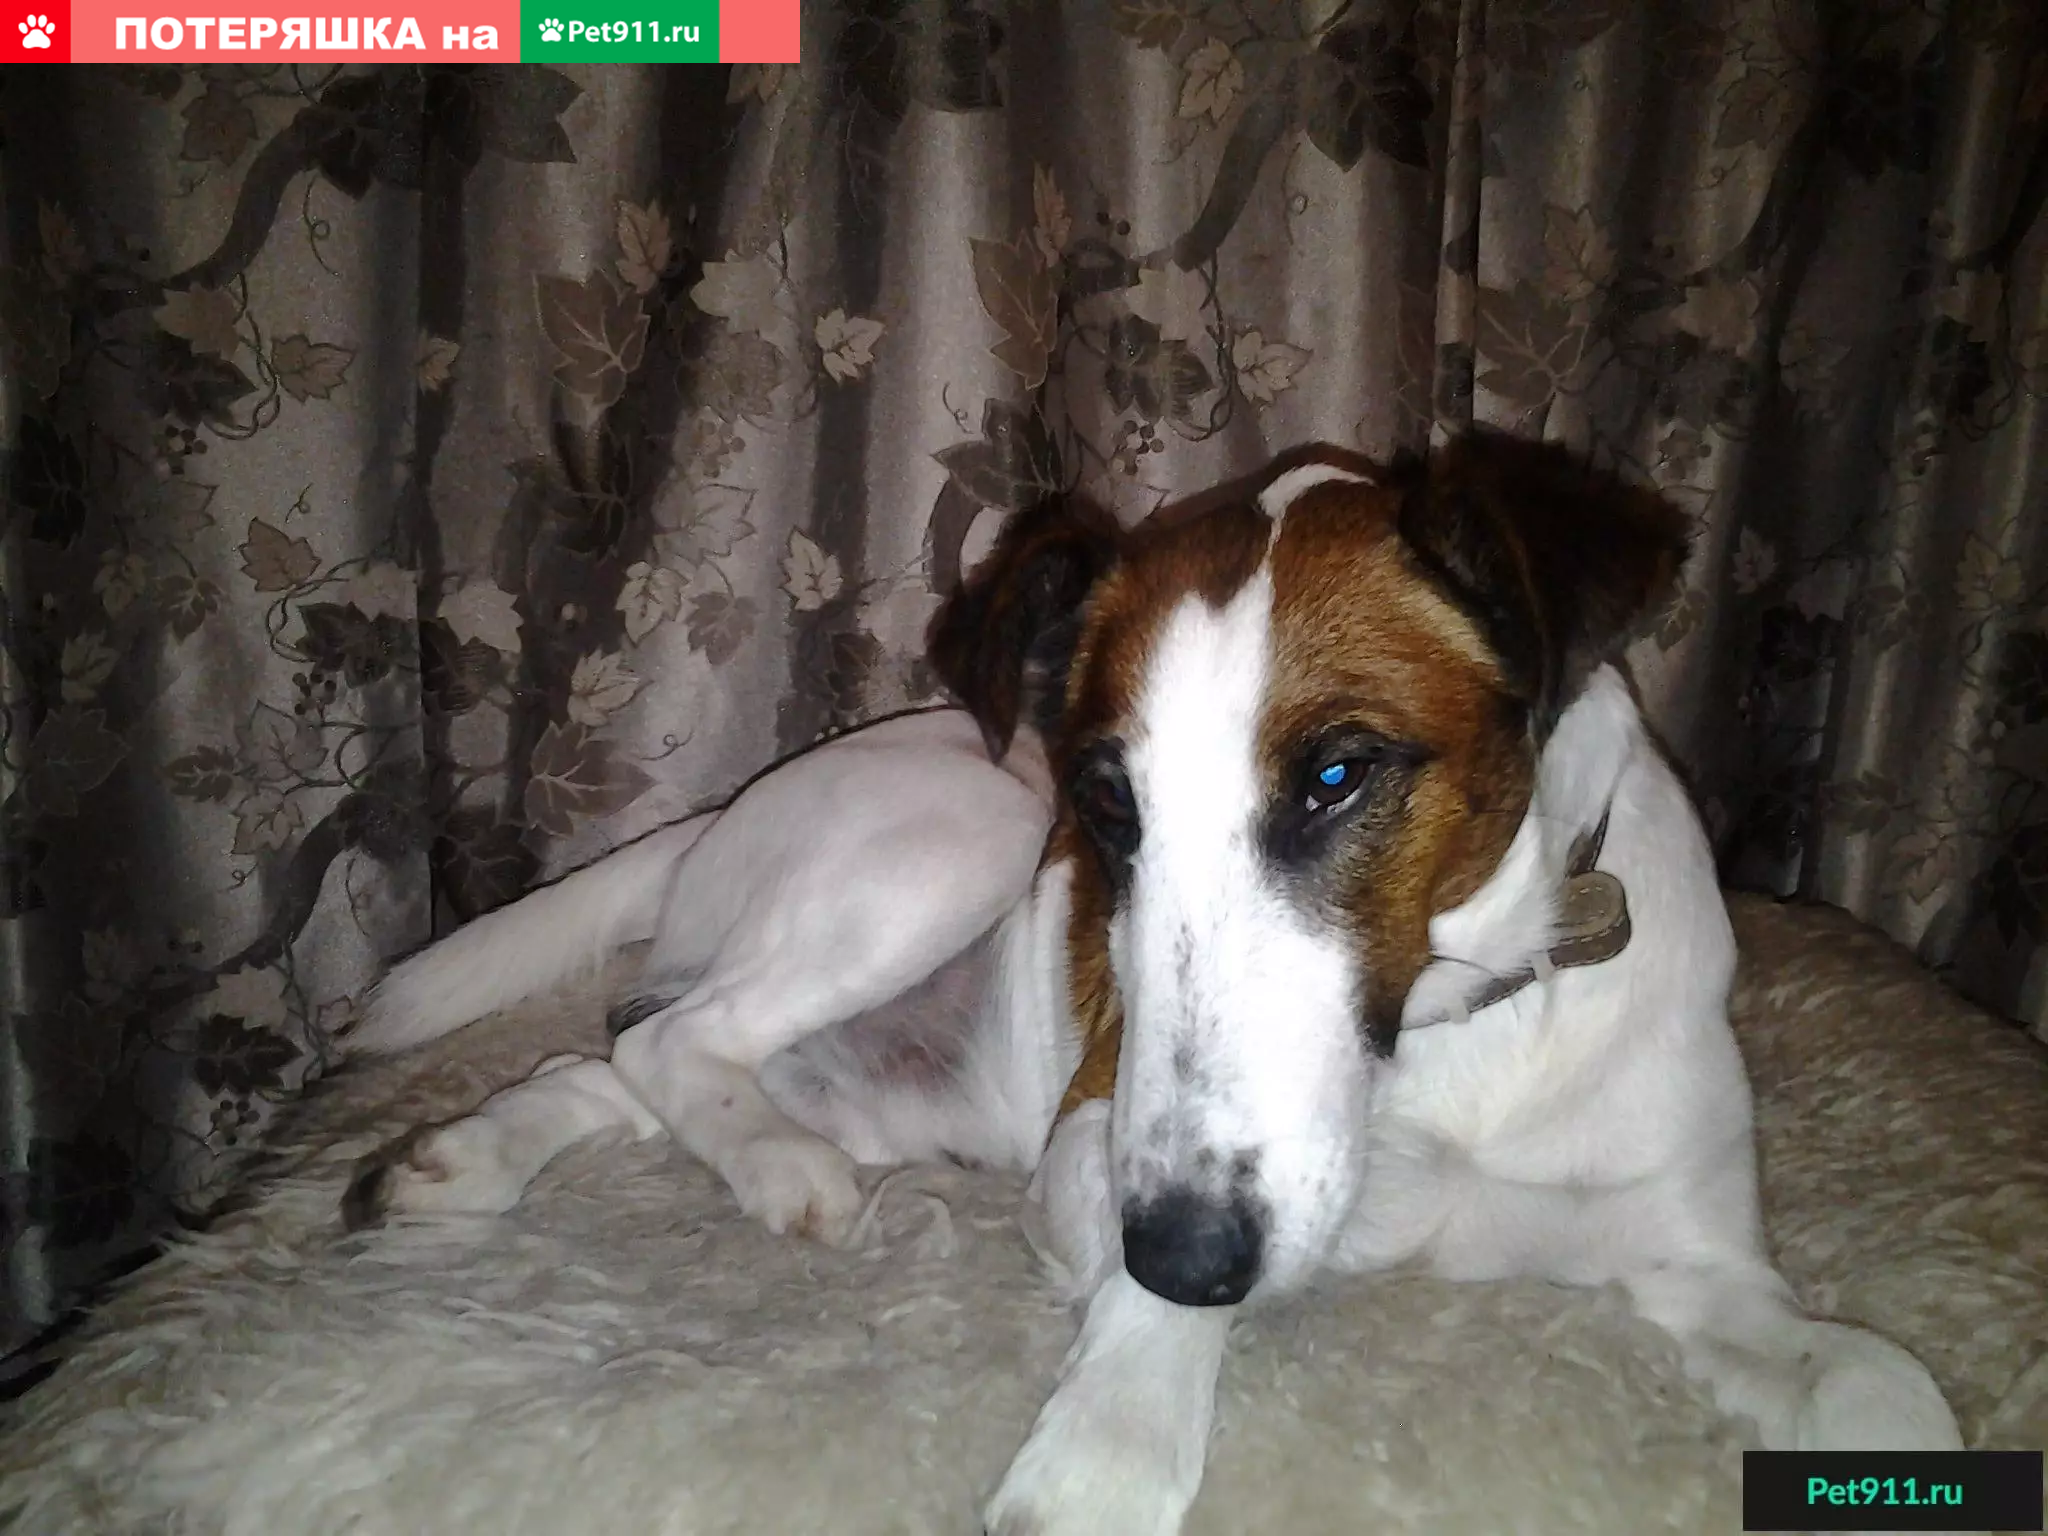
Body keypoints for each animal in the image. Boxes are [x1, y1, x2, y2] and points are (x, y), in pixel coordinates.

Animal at [340, 431, 1961, 1534]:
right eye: (1108, 805)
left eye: (1335, 778)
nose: (1189, 1247)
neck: (1458, 1025)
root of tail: (712, 821)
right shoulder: (1093, 1153)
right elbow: (1157, 1297)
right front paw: (1123, 1423)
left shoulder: (1704, 1264)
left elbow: (1882, 1388)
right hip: (961, 832)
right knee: (669, 1040)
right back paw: (771, 1174)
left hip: (897, 1062)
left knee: (615, 1057)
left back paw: (467, 1156)